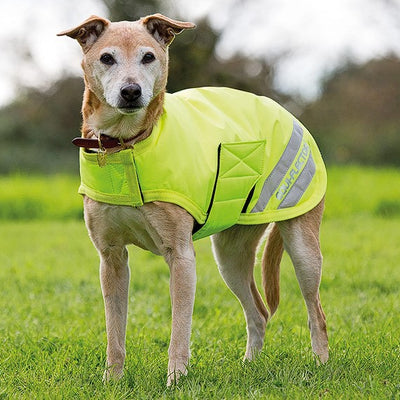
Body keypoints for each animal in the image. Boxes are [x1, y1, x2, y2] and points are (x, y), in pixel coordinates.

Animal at [58, 14, 328, 386]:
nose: (131, 92)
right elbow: (115, 332)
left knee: (316, 313)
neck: (127, 146)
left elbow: (179, 330)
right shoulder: (110, 258)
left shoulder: (181, 256)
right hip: (229, 257)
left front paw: (176, 379)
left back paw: (321, 366)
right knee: (258, 312)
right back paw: (249, 366)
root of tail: (284, 111)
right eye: (107, 58)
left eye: (148, 57)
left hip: (302, 248)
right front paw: (113, 380)